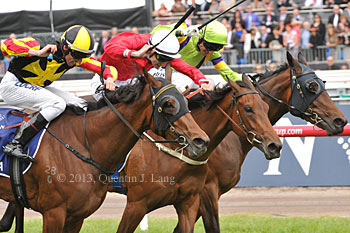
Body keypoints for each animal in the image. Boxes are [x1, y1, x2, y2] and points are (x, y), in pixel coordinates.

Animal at [0, 69, 209, 233]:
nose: (201, 141)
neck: (83, 143)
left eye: (187, 102)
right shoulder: (54, 213)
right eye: (168, 104)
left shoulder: (76, 217)